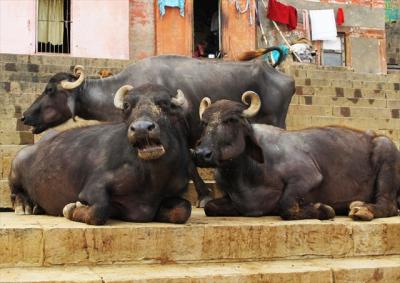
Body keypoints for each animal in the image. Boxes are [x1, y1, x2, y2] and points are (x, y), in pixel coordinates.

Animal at [7, 83, 192, 225]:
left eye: (165, 104)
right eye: (127, 106)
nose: (141, 128)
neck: (151, 177)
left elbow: (184, 210)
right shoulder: (93, 187)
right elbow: (99, 210)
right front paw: (70, 209)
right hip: (16, 166)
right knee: (15, 191)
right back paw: (25, 206)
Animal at [194, 93, 400, 222]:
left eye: (231, 120)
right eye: (204, 122)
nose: (202, 154)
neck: (247, 173)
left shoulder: (308, 176)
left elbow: (286, 205)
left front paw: (323, 209)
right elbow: (209, 207)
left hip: (387, 153)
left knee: (389, 205)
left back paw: (362, 209)